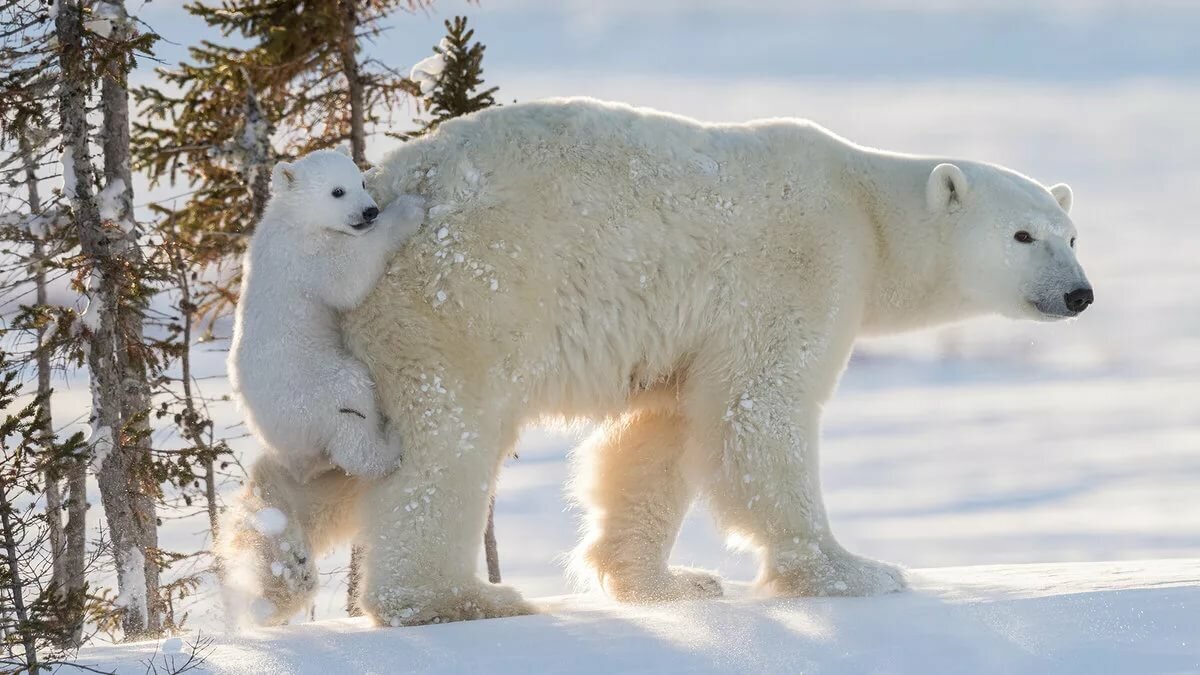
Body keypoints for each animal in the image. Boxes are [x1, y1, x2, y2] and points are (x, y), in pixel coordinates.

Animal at [248, 97, 1094, 624]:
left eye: (1070, 233)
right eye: (1022, 235)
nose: (1079, 292)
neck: (866, 206)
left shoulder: (689, 335)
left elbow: (661, 433)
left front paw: (670, 581)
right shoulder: (803, 265)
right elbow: (759, 414)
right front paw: (857, 571)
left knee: (342, 448)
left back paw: (274, 550)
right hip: (455, 302)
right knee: (440, 448)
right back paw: (458, 597)